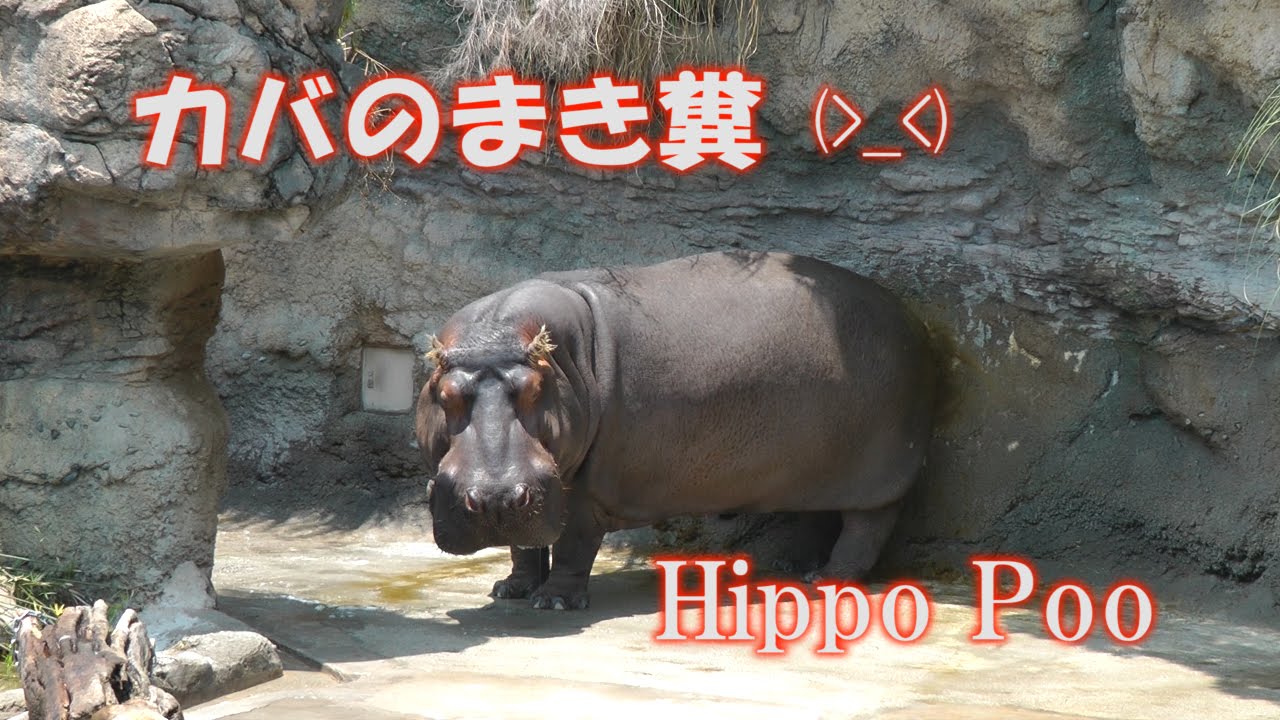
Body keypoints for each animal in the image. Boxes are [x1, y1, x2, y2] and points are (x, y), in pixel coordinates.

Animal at [415, 251, 937, 610]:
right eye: (444, 393)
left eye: (534, 388)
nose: (496, 498)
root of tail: (911, 318)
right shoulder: (545, 487)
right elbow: (524, 544)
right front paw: (511, 589)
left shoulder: (586, 490)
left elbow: (571, 543)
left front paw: (555, 600)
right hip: (812, 467)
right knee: (817, 514)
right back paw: (795, 567)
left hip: (876, 473)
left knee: (866, 526)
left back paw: (827, 580)